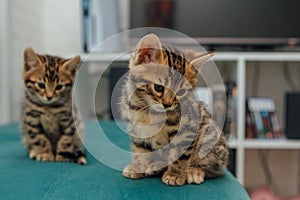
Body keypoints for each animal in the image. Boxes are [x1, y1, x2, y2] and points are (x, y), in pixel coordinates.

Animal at [120, 34, 229, 186]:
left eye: (181, 91)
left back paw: (194, 171)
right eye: (158, 87)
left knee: (215, 168)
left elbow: (180, 154)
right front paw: (138, 166)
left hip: (210, 138)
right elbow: (140, 150)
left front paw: (175, 174)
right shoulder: (137, 130)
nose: (168, 104)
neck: (147, 110)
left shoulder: (187, 129)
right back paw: (155, 165)